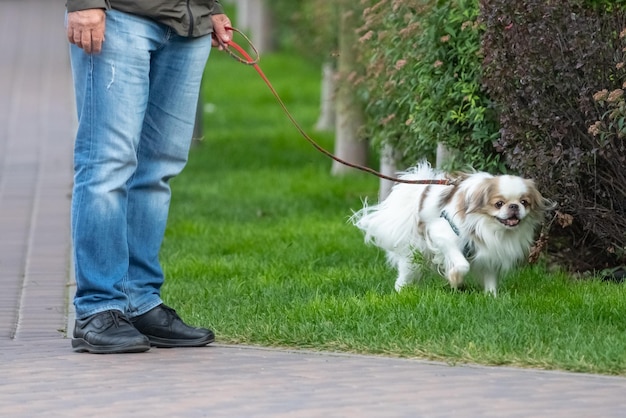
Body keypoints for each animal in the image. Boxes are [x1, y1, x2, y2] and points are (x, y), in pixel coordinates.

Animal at [352, 162, 552, 296]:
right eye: (499, 204)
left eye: (524, 202)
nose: (514, 207)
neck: (489, 227)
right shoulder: (443, 235)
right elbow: (462, 264)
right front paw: (455, 279)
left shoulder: (491, 253)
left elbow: (490, 278)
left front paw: (491, 297)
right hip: (415, 256)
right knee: (405, 274)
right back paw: (401, 291)